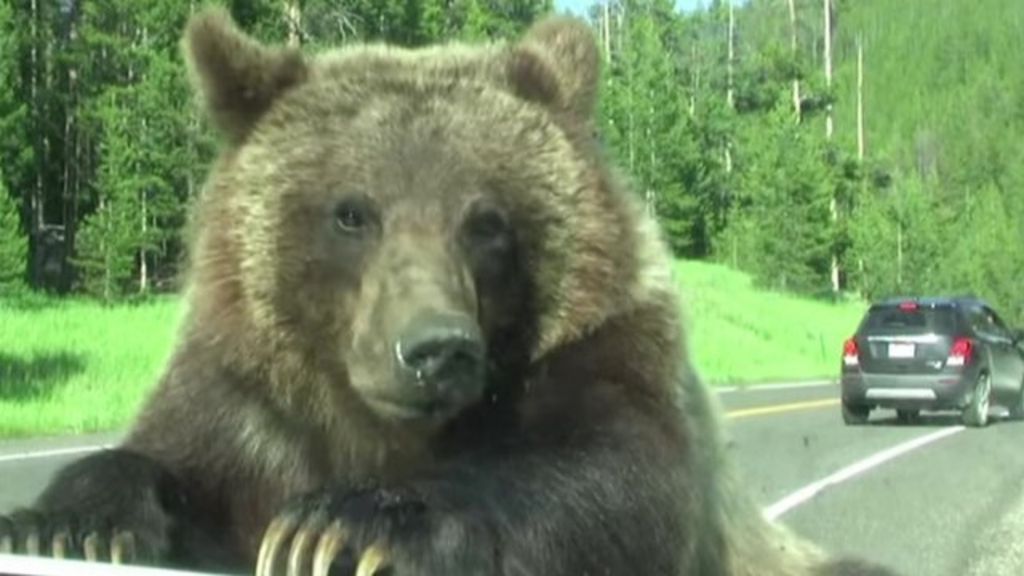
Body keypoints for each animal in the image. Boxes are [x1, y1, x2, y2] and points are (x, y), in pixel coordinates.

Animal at [0, 7, 897, 573]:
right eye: (352, 211)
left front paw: (345, 526)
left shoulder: (606, 345)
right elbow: (171, 458)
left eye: (487, 220)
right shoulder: (247, 398)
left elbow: (617, 475)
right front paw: (71, 523)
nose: (436, 350)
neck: (376, 426)